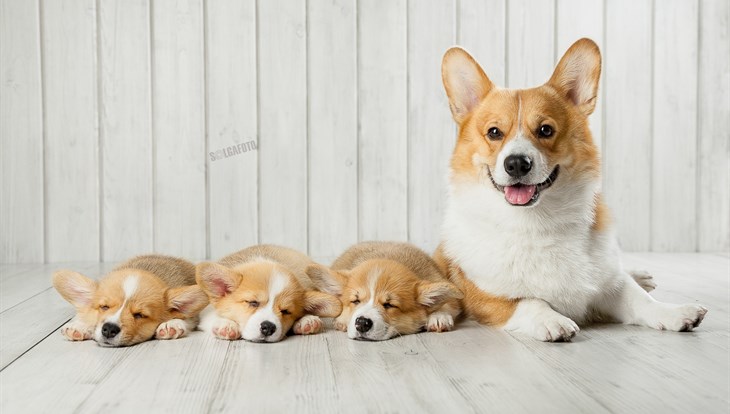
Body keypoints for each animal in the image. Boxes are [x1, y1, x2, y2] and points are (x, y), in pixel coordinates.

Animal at [52, 256, 208, 346]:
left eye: (139, 315)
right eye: (104, 307)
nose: (109, 329)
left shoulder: (192, 317)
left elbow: (187, 319)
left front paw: (171, 324)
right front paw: (81, 327)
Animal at [193, 246, 342, 342]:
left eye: (286, 311)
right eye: (253, 303)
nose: (268, 327)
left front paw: (307, 319)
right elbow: (213, 315)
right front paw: (226, 324)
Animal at [432, 37, 704, 342]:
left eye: (545, 130)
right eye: (494, 132)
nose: (516, 163)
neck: (536, 223)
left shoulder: (609, 285)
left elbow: (640, 300)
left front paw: (675, 312)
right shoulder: (486, 296)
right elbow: (528, 301)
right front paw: (552, 320)